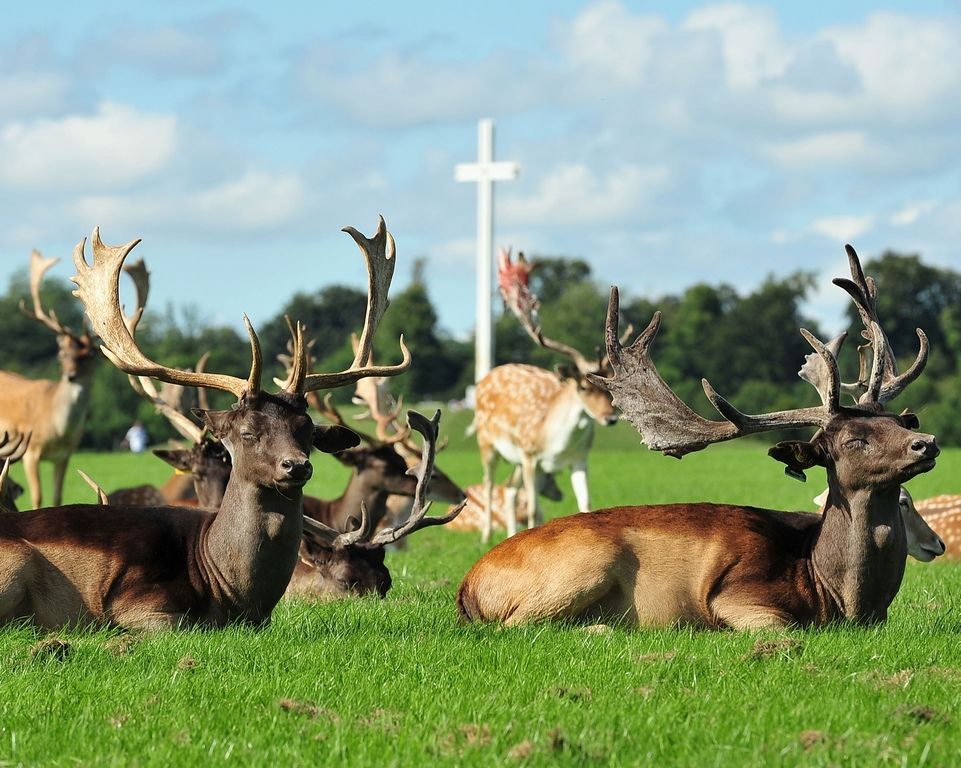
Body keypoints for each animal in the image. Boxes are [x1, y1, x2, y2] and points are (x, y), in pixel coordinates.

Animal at [0, 249, 148, 508]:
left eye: (89, 356)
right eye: (62, 354)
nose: (71, 376)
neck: (58, 431)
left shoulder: (65, 455)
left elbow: (57, 496)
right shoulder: (31, 451)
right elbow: (37, 496)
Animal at [470, 249, 616, 544]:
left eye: (609, 389)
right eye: (583, 388)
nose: (610, 418)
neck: (555, 443)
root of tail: (488, 376)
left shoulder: (579, 459)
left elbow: (585, 503)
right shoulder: (529, 456)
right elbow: (534, 510)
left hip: (516, 460)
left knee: (510, 489)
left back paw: (510, 534)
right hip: (487, 443)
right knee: (490, 484)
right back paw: (487, 535)